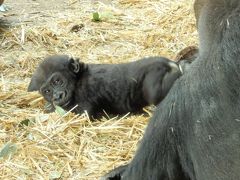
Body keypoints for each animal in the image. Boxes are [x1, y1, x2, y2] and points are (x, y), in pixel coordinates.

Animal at [28, 55, 182, 119]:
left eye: (58, 81)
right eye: (47, 91)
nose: (57, 96)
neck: (78, 80)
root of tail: (170, 64)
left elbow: (85, 116)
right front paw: (49, 106)